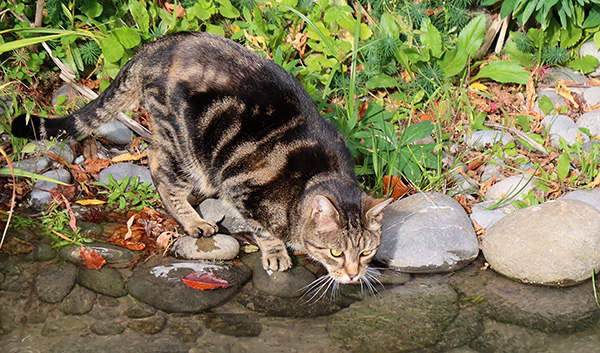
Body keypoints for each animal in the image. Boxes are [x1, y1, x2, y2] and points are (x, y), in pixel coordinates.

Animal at [12, 31, 394, 284]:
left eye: (366, 252)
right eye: (335, 253)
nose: (353, 275)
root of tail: (157, 45)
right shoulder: (240, 189)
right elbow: (264, 231)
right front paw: (276, 254)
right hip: (187, 148)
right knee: (159, 169)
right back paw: (194, 221)